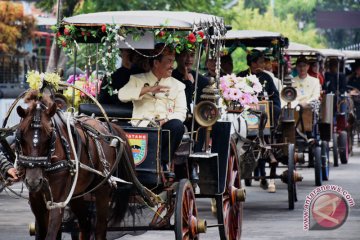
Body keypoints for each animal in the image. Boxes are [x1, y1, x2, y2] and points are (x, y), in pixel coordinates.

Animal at [15, 90, 138, 240]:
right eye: (21, 136)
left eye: (50, 136)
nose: (33, 181)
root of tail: (105, 126)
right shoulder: (36, 199)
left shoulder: (58, 200)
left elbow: (51, 232)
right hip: (77, 194)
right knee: (85, 224)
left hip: (102, 189)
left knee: (100, 228)